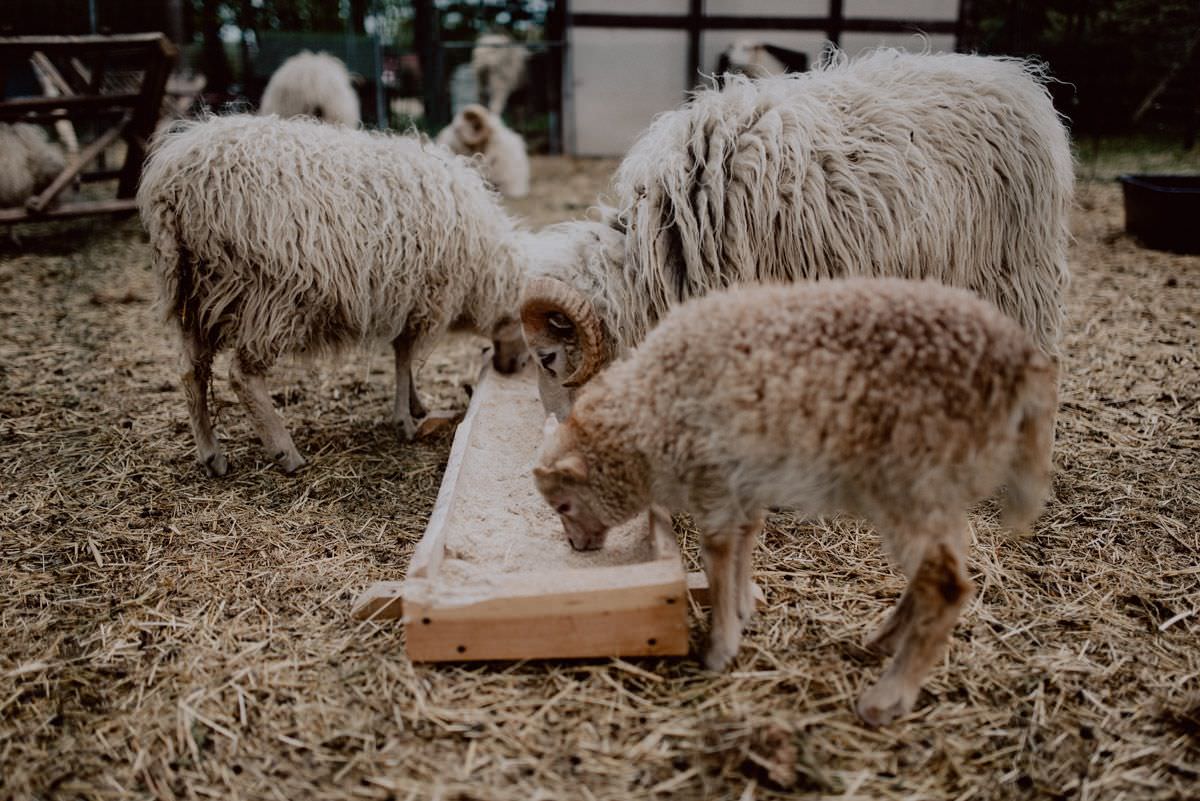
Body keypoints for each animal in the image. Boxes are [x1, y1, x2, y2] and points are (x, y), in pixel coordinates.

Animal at [137, 114, 533, 476]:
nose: (515, 367)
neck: (486, 269)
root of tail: (175, 181)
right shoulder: (424, 297)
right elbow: (405, 356)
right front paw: (405, 419)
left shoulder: (406, 298)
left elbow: (403, 356)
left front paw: (416, 404)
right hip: (269, 294)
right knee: (242, 376)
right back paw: (286, 453)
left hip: (191, 294)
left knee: (190, 371)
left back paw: (211, 454)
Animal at [534, 278, 1058, 727]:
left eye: (563, 507)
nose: (578, 547)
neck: (651, 410)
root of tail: (1019, 364)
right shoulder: (744, 480)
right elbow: (747, 538)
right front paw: (744, 608)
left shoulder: (713, 481)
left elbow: (718, 555)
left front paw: (719, 648)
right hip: (935, 490)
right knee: (942, 566)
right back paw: (884, 641)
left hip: (911, 482)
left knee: (947, 585)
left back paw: (887, 698)